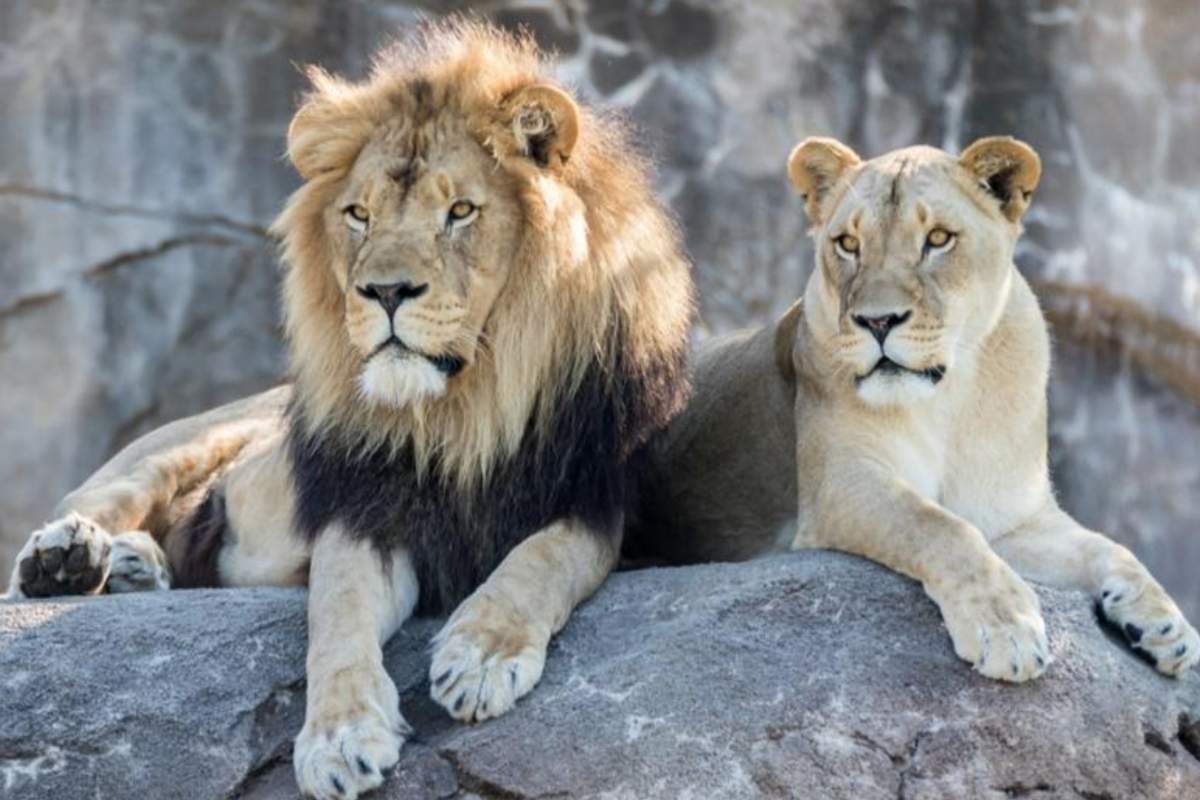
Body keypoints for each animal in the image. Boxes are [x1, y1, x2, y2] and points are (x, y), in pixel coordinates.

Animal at [4, 21, 692, 800]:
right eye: (358, 215)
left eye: (460, 211)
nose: (385, 291)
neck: (464, 410)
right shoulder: (363, 509)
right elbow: (336, 615)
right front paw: (338, 738)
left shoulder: (597, 499)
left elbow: (544, 558)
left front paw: (482, 656)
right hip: (171, 448)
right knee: (85, 513)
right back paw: (68, 559)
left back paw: (131, 565)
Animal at [632, 136, 1200, 682]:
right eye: (848, 244)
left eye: (939, 239)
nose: (877, 321)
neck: (949, 400)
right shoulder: (840, 483)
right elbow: (939, 526)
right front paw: (1006, 629)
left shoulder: (1015, 518)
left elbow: (1109, 547)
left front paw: (1167, 626)